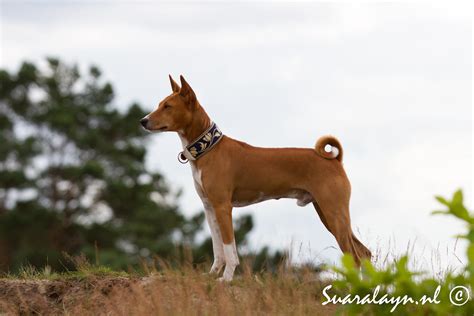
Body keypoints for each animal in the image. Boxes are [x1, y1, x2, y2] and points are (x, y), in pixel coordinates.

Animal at [139, 75, 372, 280]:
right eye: (160, 104)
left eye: (168, 106)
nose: (143, 121)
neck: (208, 150)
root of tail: (335, 159)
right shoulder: (209, 207)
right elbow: (217, 249)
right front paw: (213, 274)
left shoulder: (223, 206)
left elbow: (229, 249)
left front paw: (226, 278)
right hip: (328, 213)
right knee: (364, 253)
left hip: (334, 213)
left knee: (355, 256)